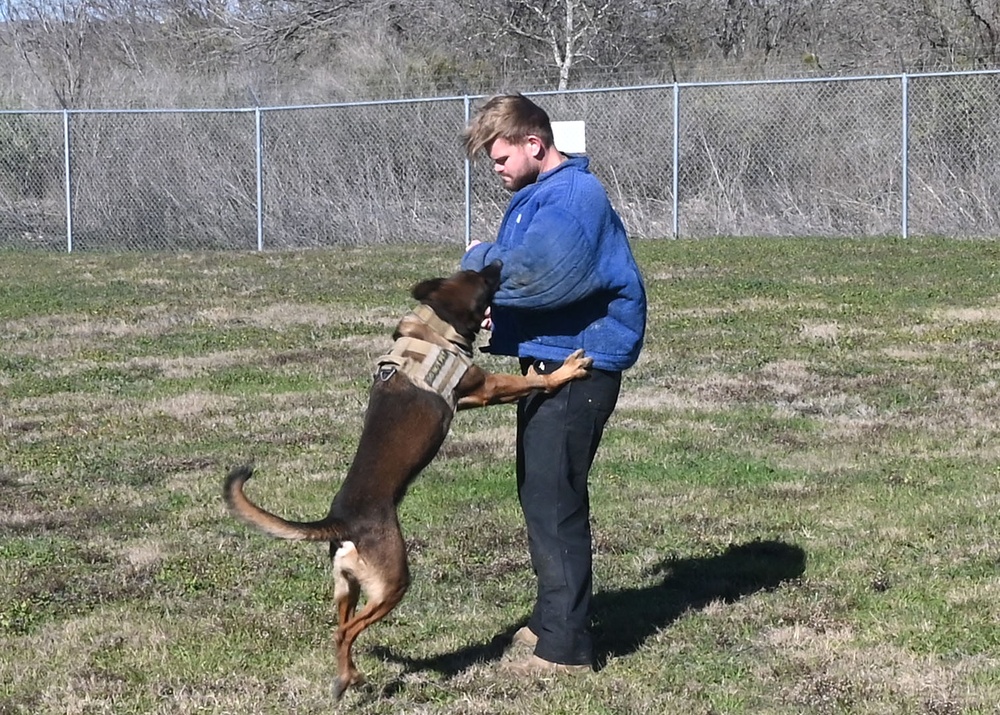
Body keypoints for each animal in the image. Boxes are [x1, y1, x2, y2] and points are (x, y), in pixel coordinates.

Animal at [223, 262, 588, 700]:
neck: (435, 325)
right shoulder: (484, 387)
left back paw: (350, 676)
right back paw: (347, 679)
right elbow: (533, 382)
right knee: (346, 633)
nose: (498, 263)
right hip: (393, 583)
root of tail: (340, 523)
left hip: (347, 586)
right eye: (484, 279)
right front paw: (565, 370)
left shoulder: (470, 396)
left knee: (340, 628)